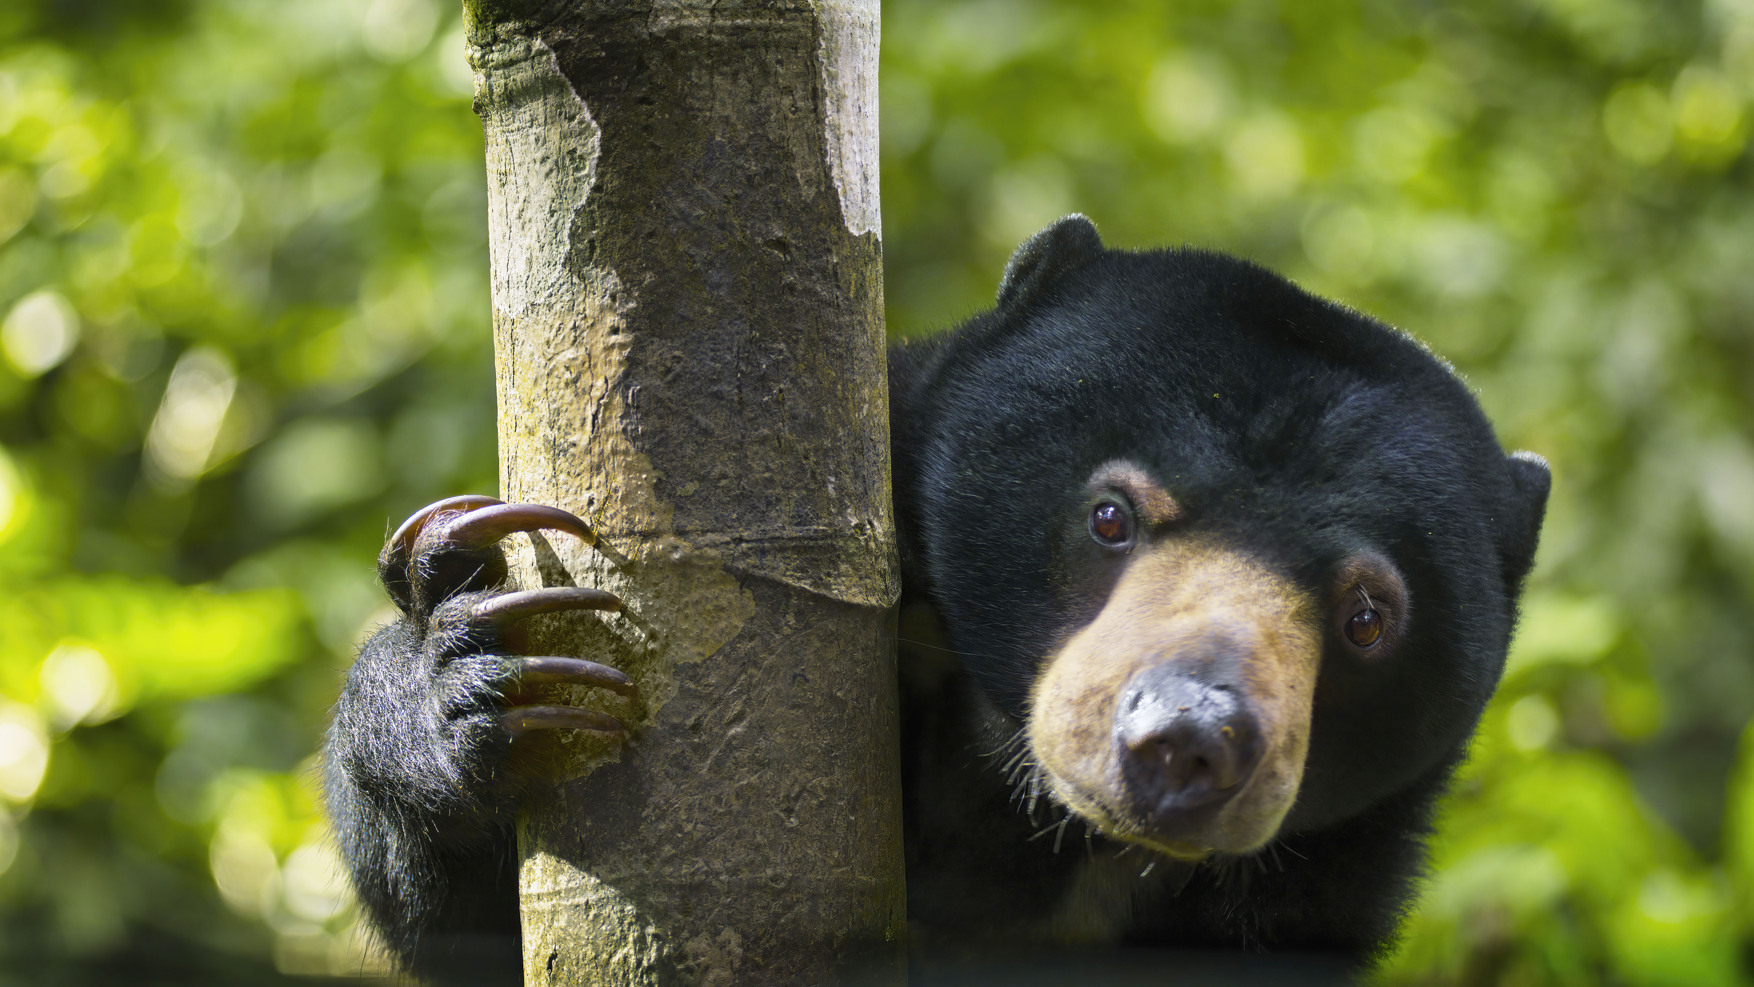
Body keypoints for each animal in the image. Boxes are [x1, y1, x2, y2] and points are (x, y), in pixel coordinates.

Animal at [322, 214, 1543, 981]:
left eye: (1367, 615)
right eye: (1110, 515)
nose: (1187, 741)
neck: (1022, 810)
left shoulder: (1322, 878)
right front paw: (474, 668)